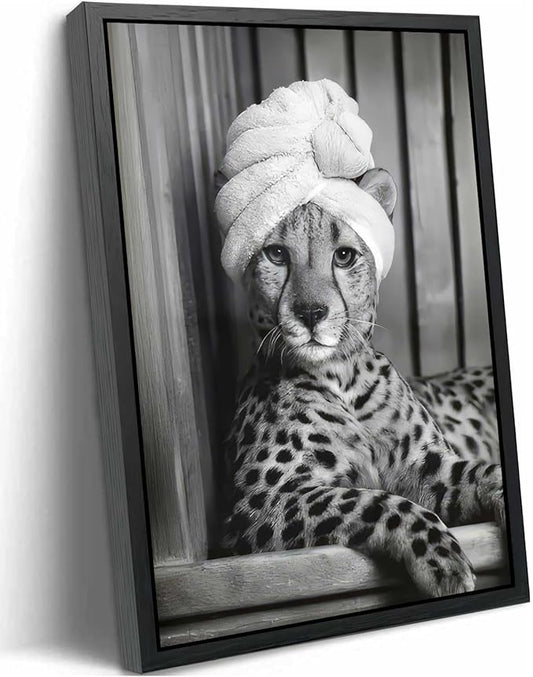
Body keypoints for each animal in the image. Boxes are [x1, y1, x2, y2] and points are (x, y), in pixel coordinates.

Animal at [221, 168, 503, 598]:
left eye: (344, 256)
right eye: (277, 254)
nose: (311, 313)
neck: (341, 378)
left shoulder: (429, 468)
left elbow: (484, 472)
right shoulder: (260, 504)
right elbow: (375, 501)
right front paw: (440, 556)